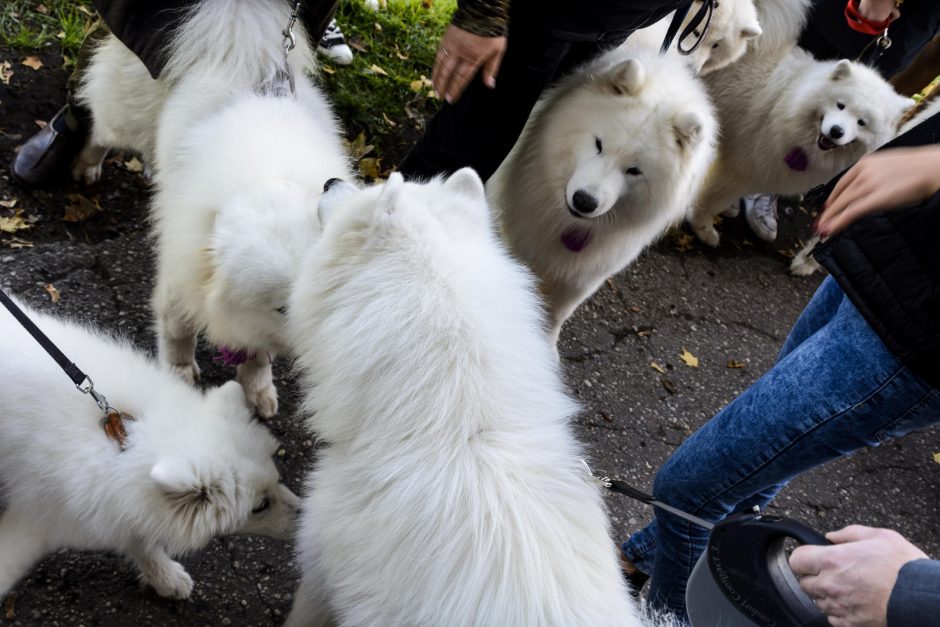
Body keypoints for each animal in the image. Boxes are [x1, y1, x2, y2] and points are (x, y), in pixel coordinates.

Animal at [0, 300, 298, 604]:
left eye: (277, 479)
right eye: (259, 506)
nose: (305, 518)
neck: (125, 441)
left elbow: (141, 541)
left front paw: (165, 578)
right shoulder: (37, 519)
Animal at [74, 1, 352, 418]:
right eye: (284, 309)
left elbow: (258, 356)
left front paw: (258, 390)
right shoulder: (180, 285)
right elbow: (178, 334)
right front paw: (179, 374)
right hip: (126, 116)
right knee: (98, 126)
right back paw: (87, 165)